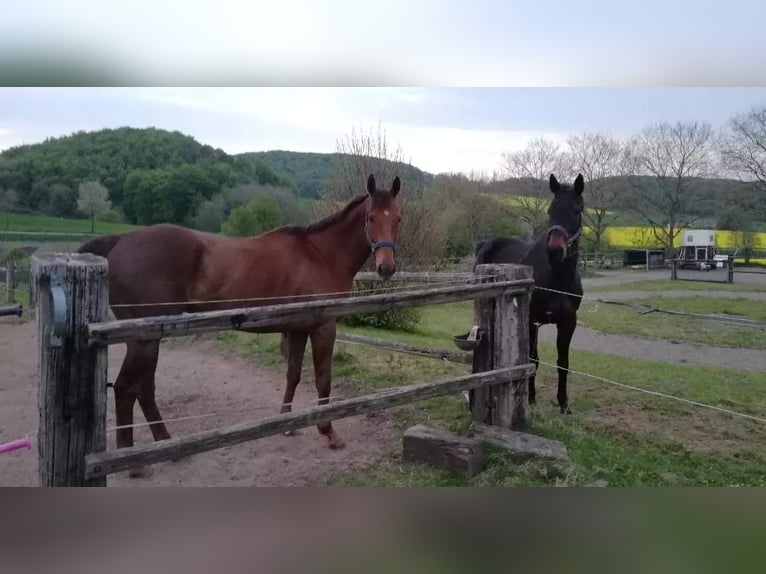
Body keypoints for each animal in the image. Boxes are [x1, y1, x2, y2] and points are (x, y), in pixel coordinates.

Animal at [78, 173, 404, 466]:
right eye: (371, 218)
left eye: (398, 219)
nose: (386, 267)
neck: (320, 254)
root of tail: (120, 241)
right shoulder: (324, 327)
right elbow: (323, 379)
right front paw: (329, 431)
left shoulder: (299, 327)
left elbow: (294, 375)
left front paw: (287, 424)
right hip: (144, 338)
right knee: (127, 388)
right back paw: (138, 460)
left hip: (148, 338)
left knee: (141, 388)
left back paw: (164, 444)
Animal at [476, 173, 584, 416]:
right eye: (550, 210)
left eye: (576, 210)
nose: (555, 250)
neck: (556, 279)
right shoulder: (532, 320)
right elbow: (532, 359)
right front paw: (531, 399)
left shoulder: (568, 322)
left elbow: (563, 363)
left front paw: (564, 404)